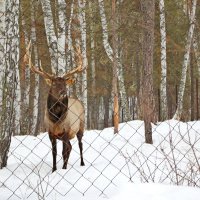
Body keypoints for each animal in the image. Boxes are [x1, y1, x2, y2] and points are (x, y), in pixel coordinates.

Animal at [24, 41, 85, 173]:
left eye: (64, 84)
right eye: (54, 84)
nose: (63, 93)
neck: (56, 120)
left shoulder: (66, 131)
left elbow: (63, 152)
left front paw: (64, 168)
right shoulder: (51, 133)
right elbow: (54, 152)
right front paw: (54, 169)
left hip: (81, 127)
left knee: (80, 145)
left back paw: (82, 163)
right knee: (71, 147)